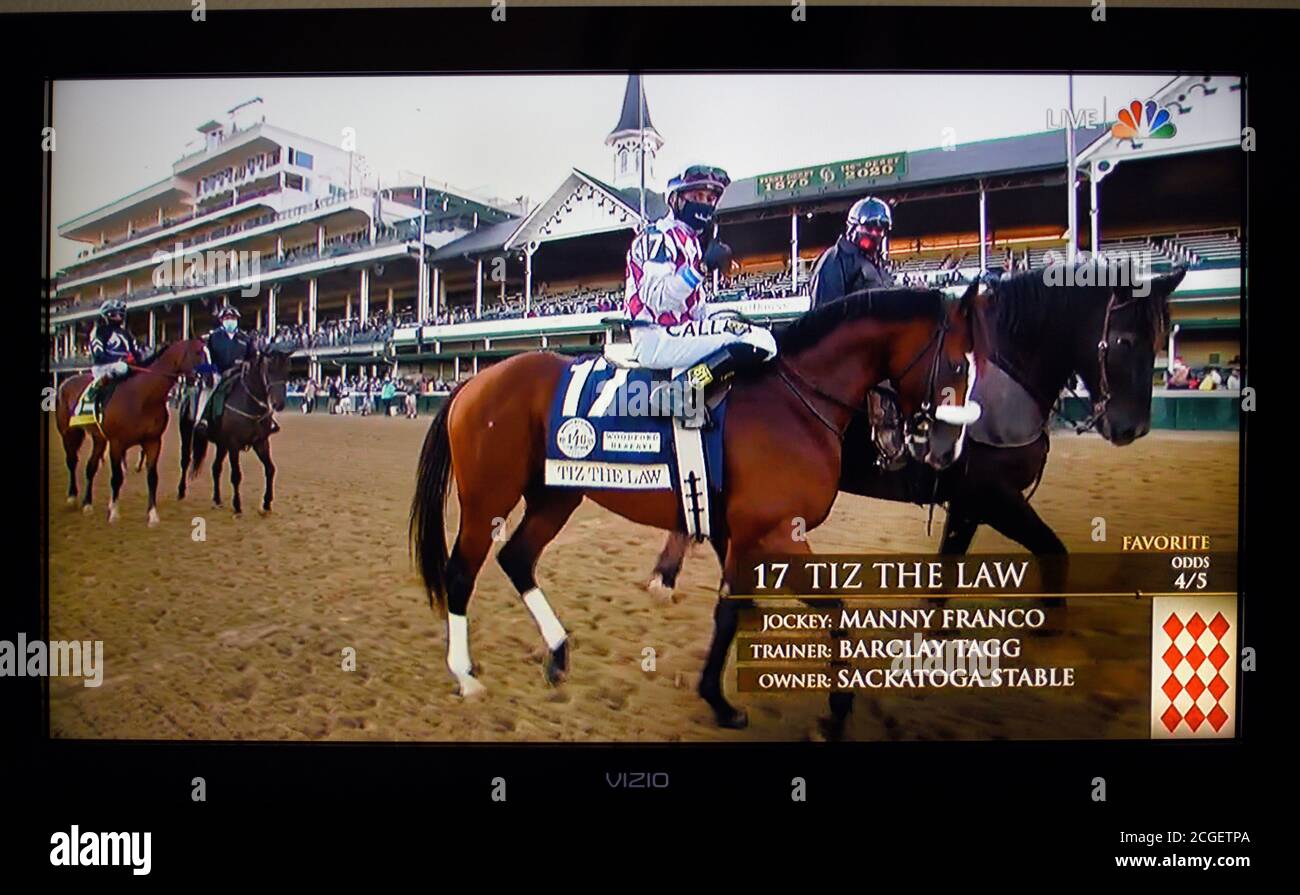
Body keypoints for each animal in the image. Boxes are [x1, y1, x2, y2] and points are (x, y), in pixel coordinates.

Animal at [54, 340, 208, 525]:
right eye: (198, 352)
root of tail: (66, 382)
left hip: (99, 438)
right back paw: (72, 497)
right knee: (71, 461)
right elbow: (117, 478)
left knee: (90, 467)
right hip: (68, 432)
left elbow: (152, 477)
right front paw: (113, 512)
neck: (143, 397)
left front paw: (152, 515)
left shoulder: (153, 441)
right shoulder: (117, 443)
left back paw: (87, 504)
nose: (209, 377)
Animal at [182, 340, 293, 515]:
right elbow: (236, 475)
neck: (249, 403)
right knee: (185, 461)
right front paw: (237, 506)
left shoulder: (260, 443)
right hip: (187, 435)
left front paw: (267, 503)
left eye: (287, 371)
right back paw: (181, 492)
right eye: (269, 370)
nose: (279, 404)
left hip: (221, 445)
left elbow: (270, 469)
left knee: (216, 468)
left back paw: (217, 500)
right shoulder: (234, 444)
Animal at [410, 283, 987, 728]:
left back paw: (557, 653)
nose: (947, 450)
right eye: (957, 364)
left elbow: (753, 606)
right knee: (462, 572)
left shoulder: (746, 533)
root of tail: (474, 380)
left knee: (517, 558)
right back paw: (465, 676)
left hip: (556, 494)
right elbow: (809, 608)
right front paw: (763, 703)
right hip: (489, 497)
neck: (792, 400)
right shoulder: (776, 529)